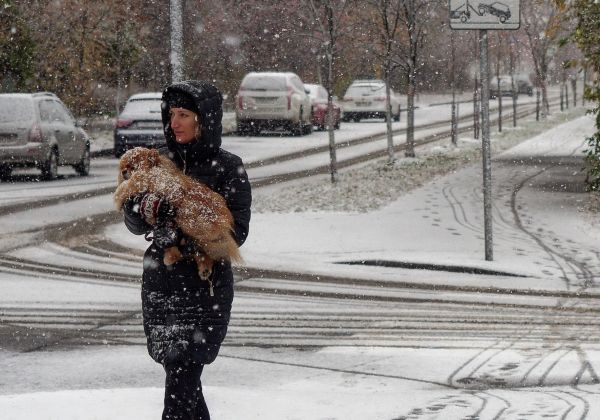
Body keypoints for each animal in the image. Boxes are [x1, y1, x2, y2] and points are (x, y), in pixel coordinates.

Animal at [113, 146, 240, 280]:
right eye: (123, 167)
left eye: (133, 166)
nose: (124, 171)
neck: (154, 169)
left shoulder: (148, 181)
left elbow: (127, 185)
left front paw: (118, 197)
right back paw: (200, 267)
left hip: (192, 221)